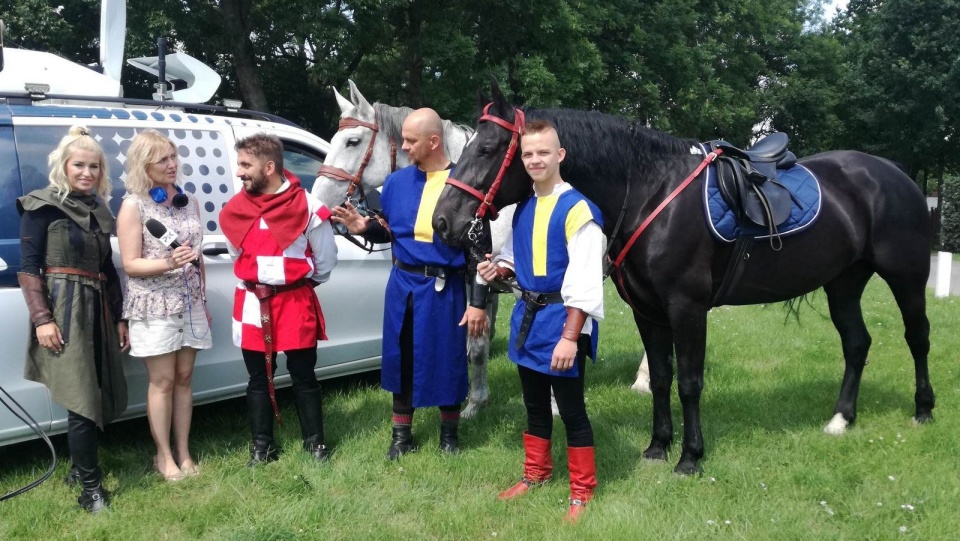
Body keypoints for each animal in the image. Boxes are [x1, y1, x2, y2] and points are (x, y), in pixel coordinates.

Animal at [312, 82, 648, 418]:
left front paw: (552, 404)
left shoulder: (522, 287)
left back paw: (643, 381)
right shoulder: (477, 279)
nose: (318, 199)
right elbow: (476, 345)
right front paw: (475, 403)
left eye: (353, 142)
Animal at [432, 80, 932, 472]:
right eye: (468, 146)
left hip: (906, 278)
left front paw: (690, 457)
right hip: (843, 282)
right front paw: (657, 447)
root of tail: (896, 175)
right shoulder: (648, 311)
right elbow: (660, 377)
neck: (650, 192)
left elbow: (690, 383)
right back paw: (841, 419)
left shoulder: (687, 308)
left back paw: (923, 410)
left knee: (917, 337)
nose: (442, 221)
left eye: (489, 149)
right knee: (857, 343)